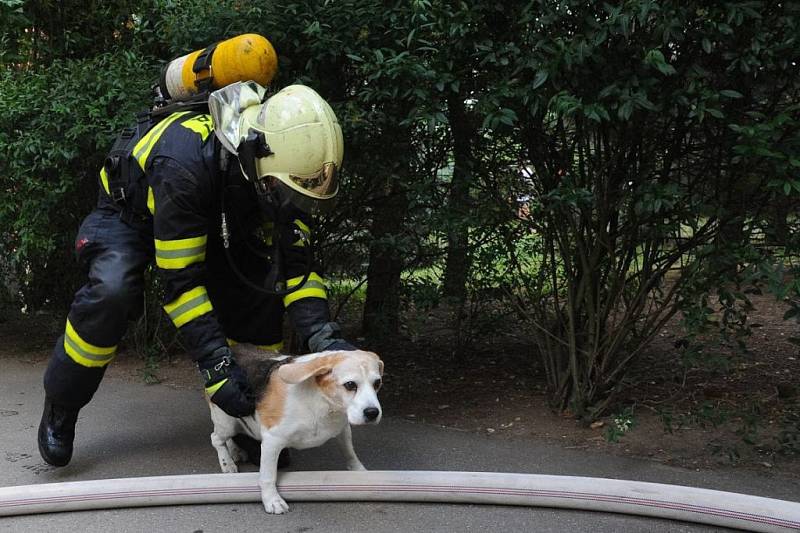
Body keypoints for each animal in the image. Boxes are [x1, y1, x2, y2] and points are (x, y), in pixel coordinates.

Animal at [206, 342, 382, 512]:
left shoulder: (342, 429)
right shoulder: (272, 441)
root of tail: (231, 350)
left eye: (377, 383)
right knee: (216, 438)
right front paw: (272, 500)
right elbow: (268, 476)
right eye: (350, 385)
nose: (373, 413)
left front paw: (360, 472)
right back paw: (227, 463)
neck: (320, 401)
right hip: (227, 422)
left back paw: (234, 451)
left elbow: (350, 453)